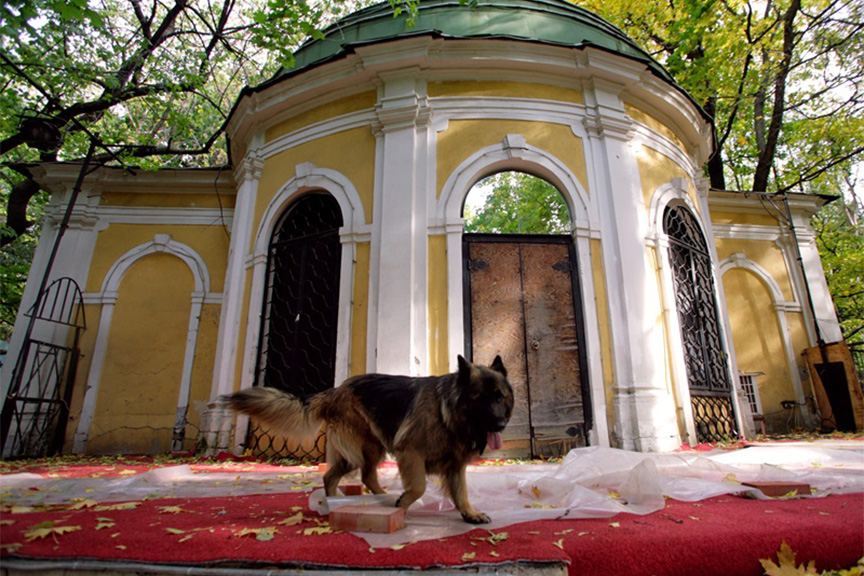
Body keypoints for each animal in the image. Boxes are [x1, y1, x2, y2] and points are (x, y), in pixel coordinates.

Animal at [224, 354, 512, 524]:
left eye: (500, 397)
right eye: (480, 398)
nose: (500, 424)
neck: (447, 412)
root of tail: (334, 390)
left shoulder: (455, 465)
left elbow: (461, 492)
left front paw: (469, 513)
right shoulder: (410, 453)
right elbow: (418, 487)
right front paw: (404, 503)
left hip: (370, 449)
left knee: (361, 476)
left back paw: (376, 497)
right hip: (361, 449)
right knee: (336, 476)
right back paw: (340, 502)